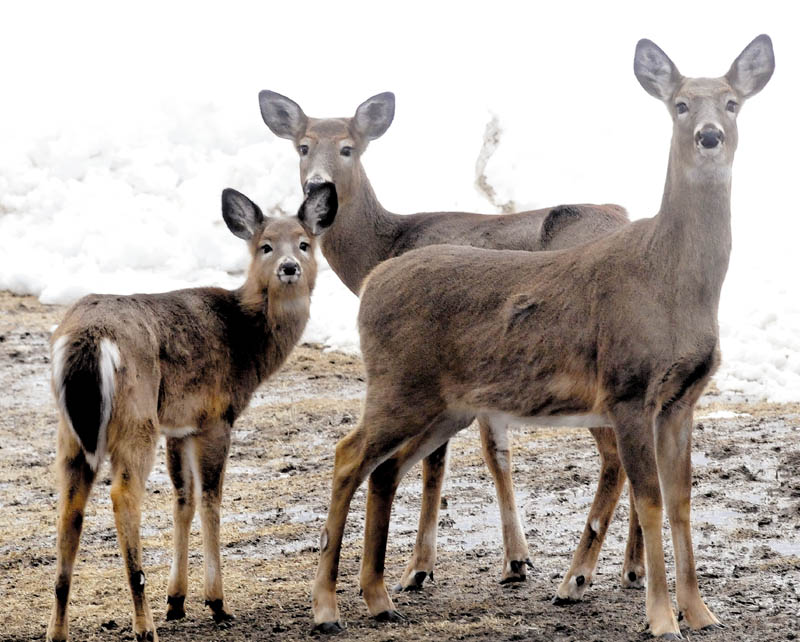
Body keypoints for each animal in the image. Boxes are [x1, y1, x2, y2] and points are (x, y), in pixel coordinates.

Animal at [44, 182, 338, 636]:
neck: (246, 341)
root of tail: (88, 337)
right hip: (136, 415)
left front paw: (177, 601)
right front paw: (216, 602)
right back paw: (144, 625)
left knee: (69, 505)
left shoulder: (180, 425)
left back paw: (58, 631)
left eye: (305, 243)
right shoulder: (216, 417)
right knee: (123, 494)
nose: (289, 267)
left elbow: (182, 498)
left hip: (72, 429)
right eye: (266, 246)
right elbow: (211, 499)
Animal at [260, 87, 648, 596]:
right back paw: (633, 567)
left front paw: (418, 568)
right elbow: (496, 452)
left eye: (348, 147)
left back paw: (590, 574)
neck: (383, 246)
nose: (316, 185)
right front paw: (516, 560)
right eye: (303, 146)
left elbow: (437, 466)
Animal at [310, 35, 772, 636]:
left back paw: (380, 598)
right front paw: (661, 618)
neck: (669, 279)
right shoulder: (628, 388)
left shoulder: (681, 399)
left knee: (383, 467)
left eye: (733, 103)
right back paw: (327, 608)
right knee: (348, 455)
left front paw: (701, 613)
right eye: (680, 105)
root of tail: (372, 281)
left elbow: (681, 502)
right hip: (398, 384)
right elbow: (650, 500)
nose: (709, 135)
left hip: (445, 404)